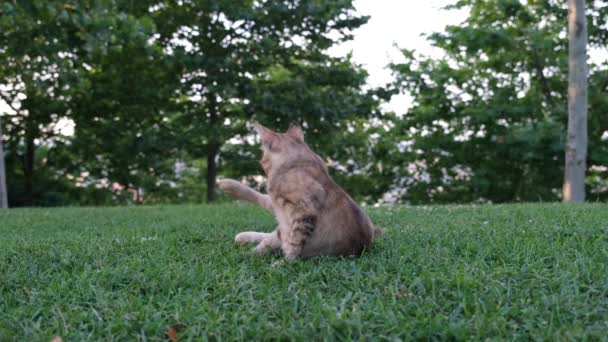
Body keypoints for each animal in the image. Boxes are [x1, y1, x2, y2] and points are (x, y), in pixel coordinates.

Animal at [217, 123, 380, 260]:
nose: (260, 162)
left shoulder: (302, 209)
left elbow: (292, 244)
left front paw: (282, 262)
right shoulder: (284, 210)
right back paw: (228, 186)